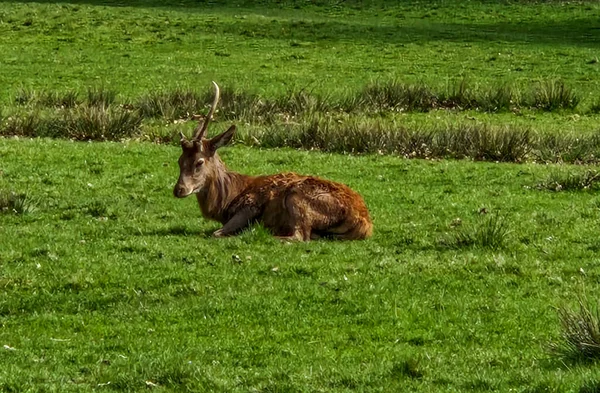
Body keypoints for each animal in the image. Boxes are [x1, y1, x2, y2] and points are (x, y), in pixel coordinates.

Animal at [171, 81, 372, 240]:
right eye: (179, 161)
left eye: (199, 162)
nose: (178, 189)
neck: (228, 199)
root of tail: (364, 222)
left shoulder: (251, 204)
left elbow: (216, 233)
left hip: (297, 197)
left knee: (299, 236)